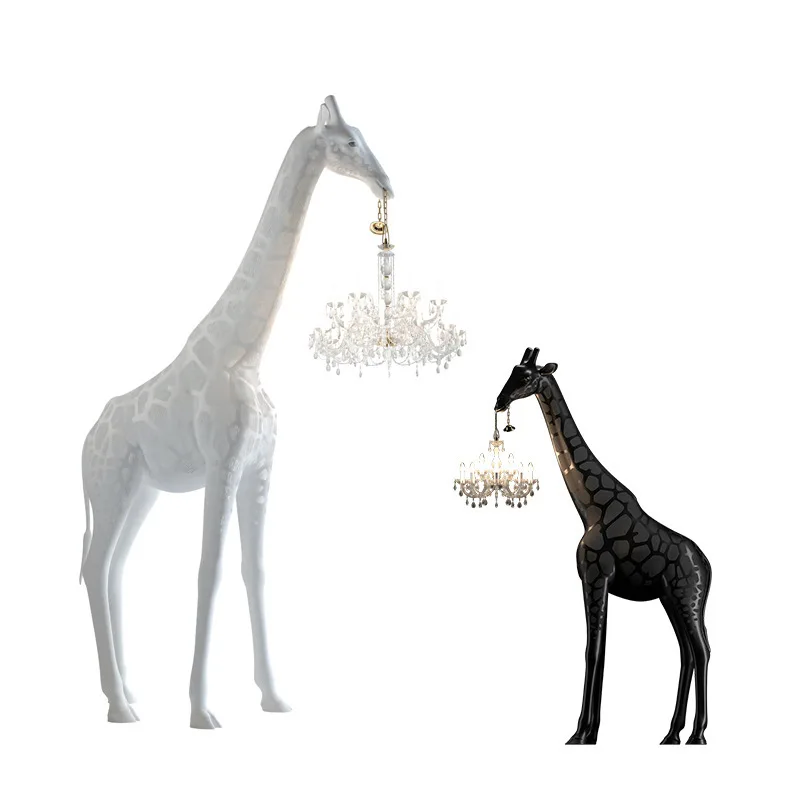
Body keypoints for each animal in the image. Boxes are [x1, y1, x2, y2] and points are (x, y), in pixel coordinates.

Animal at [79, 95, 392, 728]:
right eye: (348, 142)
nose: (386, 184)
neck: (246, 353)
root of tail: (84, 441)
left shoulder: (260, 468)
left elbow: (256, 571)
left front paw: (273, 696)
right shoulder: (223, 463)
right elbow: (211, 568)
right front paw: (202, 710)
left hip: (140, 490)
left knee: (114, 567)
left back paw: (126, 693)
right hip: (111, 485)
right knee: (94, 568)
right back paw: (120, 706)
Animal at [495, 348, 712, 745]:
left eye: (526, 376)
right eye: (511, 371)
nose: (499, 402)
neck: (590, 509)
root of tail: (708, 565)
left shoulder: (597, 577)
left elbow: (593, 650)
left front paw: (583, 733)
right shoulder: (593, 580)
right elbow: (597, 649)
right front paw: (585, 731)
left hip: (689, 597)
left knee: (702, 651)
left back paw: (698, 735)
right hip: (670, 599)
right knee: (687, 653)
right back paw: (671, 734)